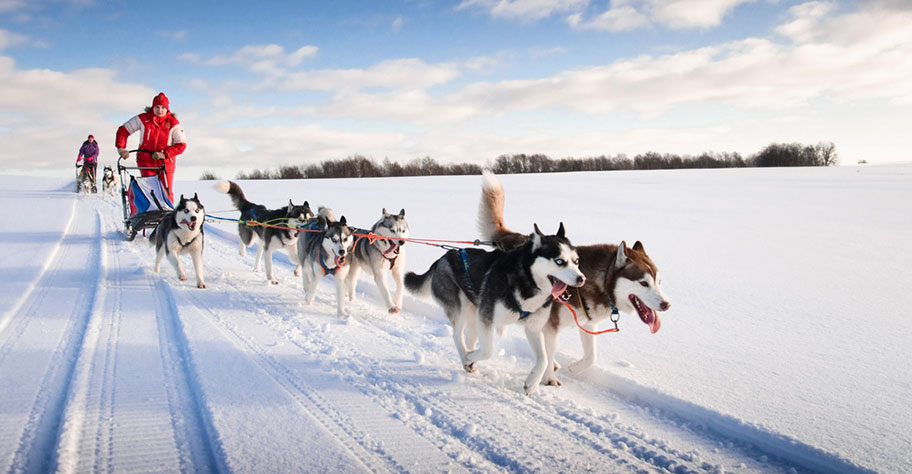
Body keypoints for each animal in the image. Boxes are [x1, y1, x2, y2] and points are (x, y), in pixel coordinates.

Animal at [478, 172, 668, 386]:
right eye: (643, 283)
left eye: (659, 282)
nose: (666, 304)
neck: (599, 283)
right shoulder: (550, 327)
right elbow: (548, 353)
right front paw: (549, 378)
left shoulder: (588, 324)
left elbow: (591, 357)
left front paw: (574, 368)